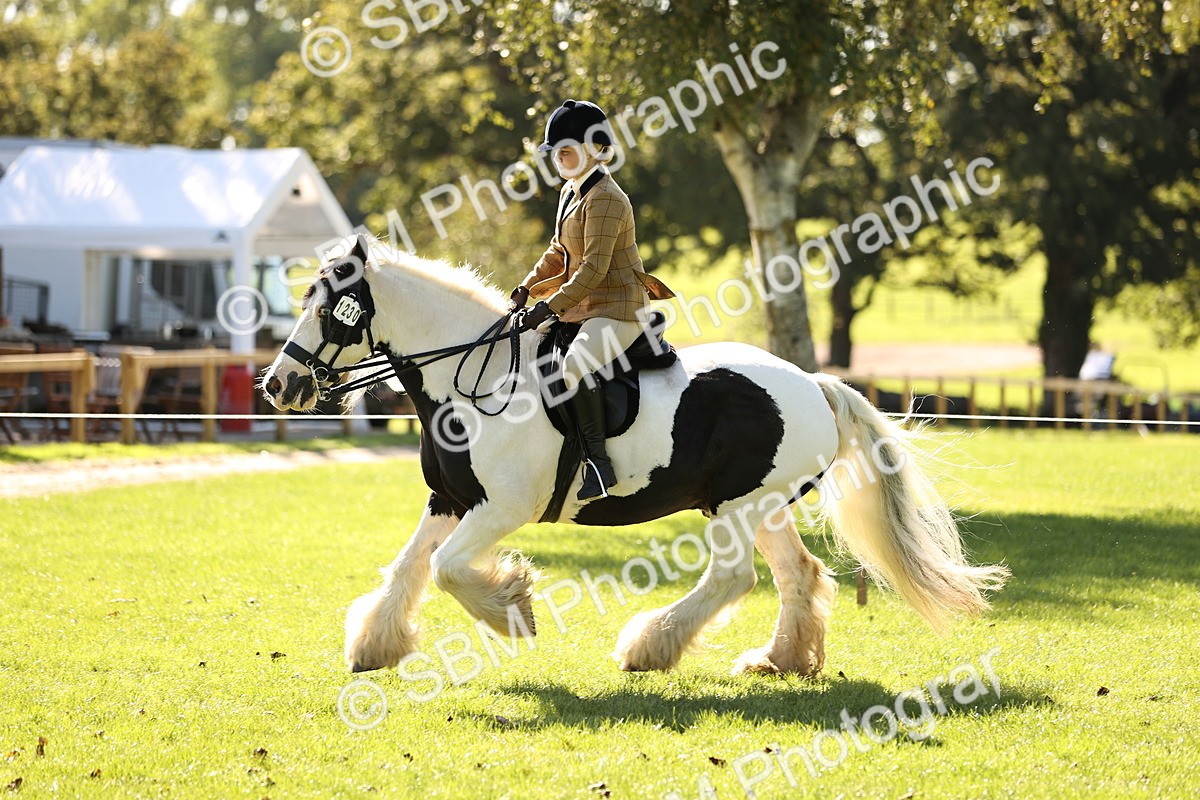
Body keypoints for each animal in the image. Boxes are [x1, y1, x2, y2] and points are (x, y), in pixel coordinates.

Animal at [261, 235, 1008, 676]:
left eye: (330, 308)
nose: (279, 384)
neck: (475, 378)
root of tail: (814, 385)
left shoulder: (502, 508)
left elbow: (446, 570)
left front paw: (512, 608)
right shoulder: (449, 500)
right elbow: (409, 567)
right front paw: (374, 644)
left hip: (735, 508)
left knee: (735, 578)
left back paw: (648, 648)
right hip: (763, 506)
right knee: (798, 574)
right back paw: (779, 660)